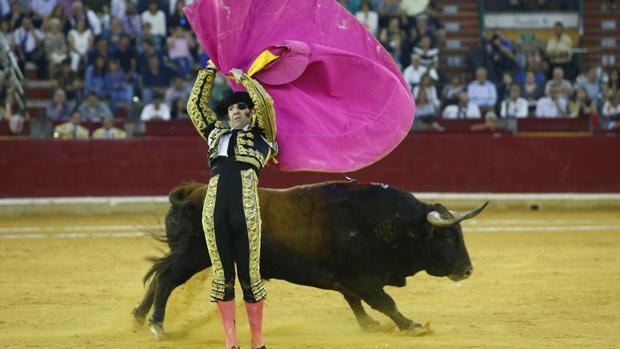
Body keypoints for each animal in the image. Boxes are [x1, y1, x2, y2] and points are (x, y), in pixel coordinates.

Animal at [133, 179, 486, 338]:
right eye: (448, 236)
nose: (468, 270)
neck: (386, 222)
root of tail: (190, 192)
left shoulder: (347, 278)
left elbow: (356, 302)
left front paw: (369, 325)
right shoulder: (362, 277)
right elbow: (385, 302)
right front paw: (412, 326)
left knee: (158, 276)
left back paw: (138, 317)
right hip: (194, 256)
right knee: (167, 279)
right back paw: (157, 326)